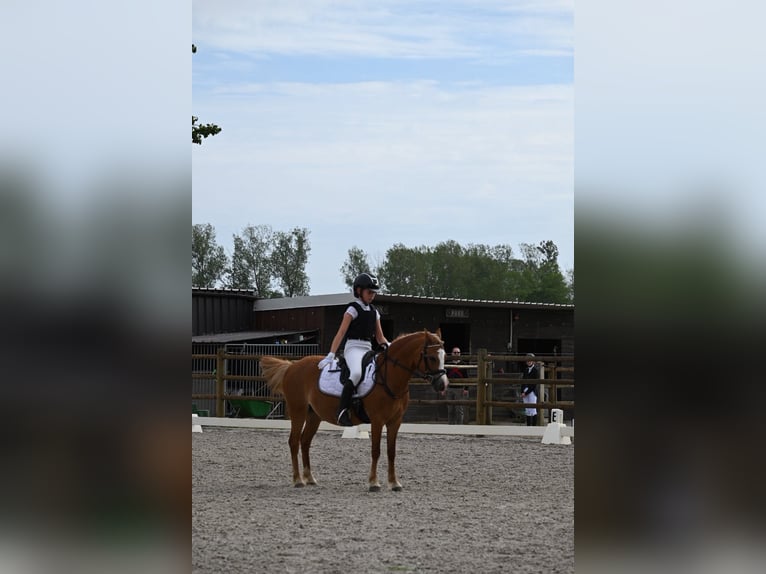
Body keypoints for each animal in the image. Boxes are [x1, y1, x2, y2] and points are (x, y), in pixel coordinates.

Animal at [260, 329, 449, 491]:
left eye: (444, 356)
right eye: (432, 357)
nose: (443, 384)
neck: (389, 377)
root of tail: (292, 366)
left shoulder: (395, 422)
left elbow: (391, 452)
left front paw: (394, 483)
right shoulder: (377, 421)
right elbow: (376, 450)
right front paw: (374, 483)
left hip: (314, 416)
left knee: (305, 442)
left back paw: (310, 478)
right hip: (298, 411)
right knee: (293, 441)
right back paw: (298, 480)